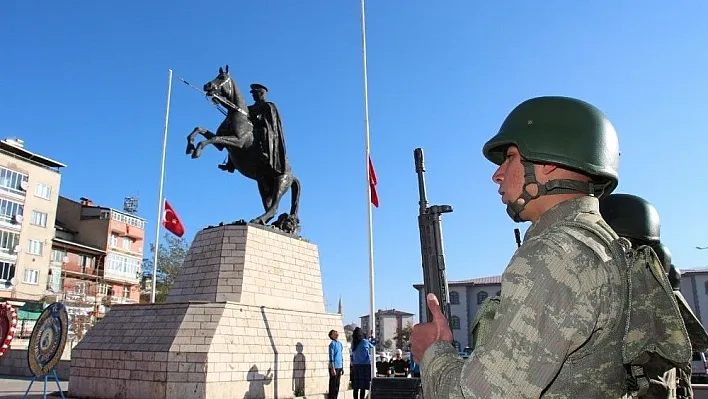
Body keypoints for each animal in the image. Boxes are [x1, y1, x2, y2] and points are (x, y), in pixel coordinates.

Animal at [184, 64, 300, 230]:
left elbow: (212, 138)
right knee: (269, 205)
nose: (207, 86)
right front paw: (190, 146)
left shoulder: (238, 142)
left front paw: (196, 151)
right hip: (263, 184)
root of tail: (292, 174)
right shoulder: (222, 145)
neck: (238, 115)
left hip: (281, 181)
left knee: (275, 206)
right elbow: (201, 130)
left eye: (221, 77)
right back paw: (262, 222)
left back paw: (259, 220)